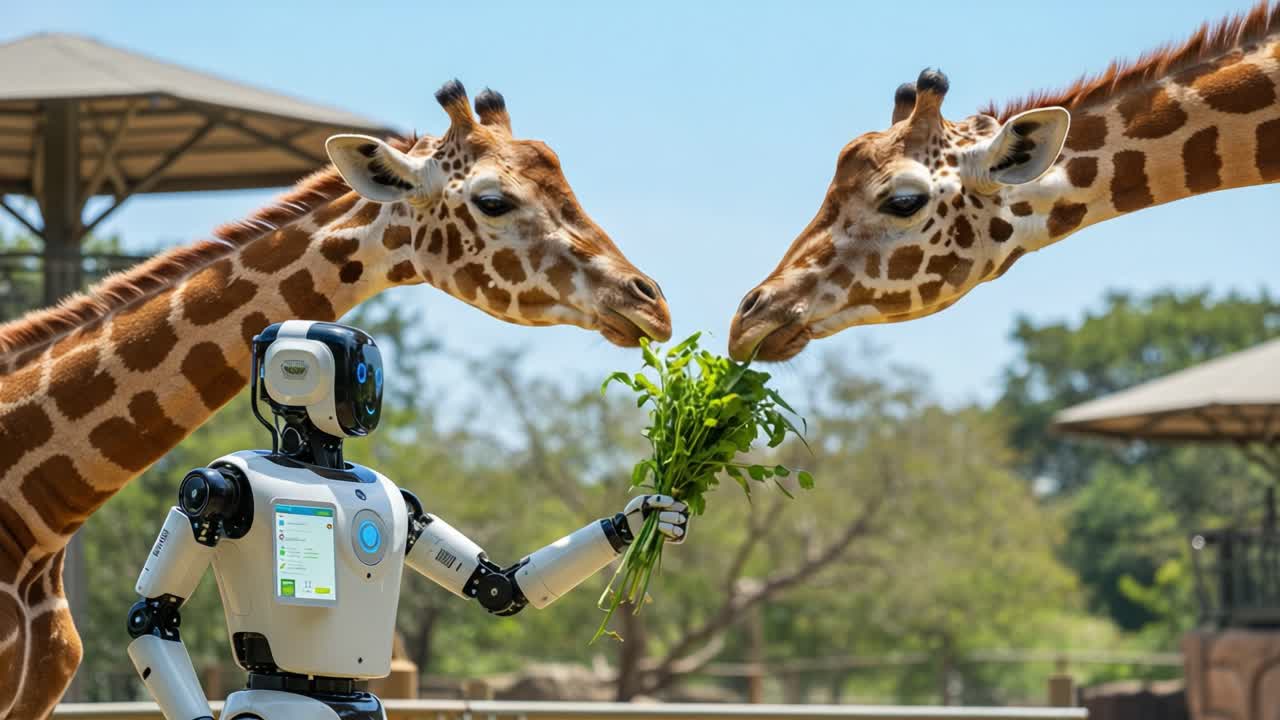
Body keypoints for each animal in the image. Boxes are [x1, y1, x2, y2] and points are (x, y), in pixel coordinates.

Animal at [0, 80, 670, 719]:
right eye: (493, 201)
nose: (650, 302)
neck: (37, 519)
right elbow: (152, 614)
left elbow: (498, 585)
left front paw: (652, 511)